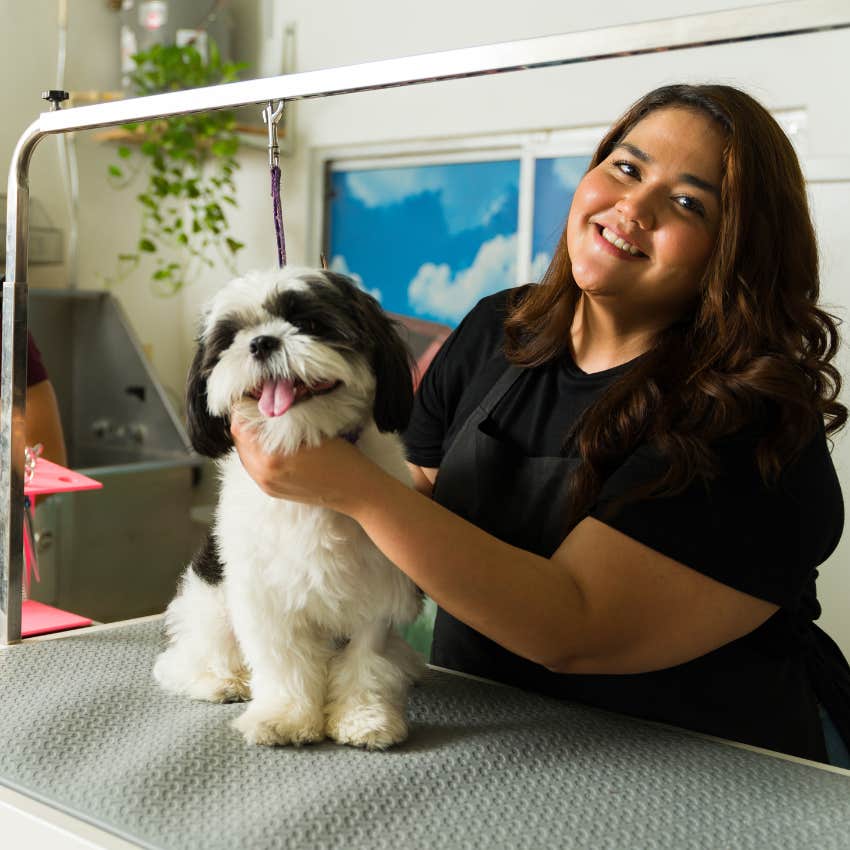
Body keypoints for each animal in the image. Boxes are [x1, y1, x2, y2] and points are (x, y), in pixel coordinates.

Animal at [153, 266, 424, 748]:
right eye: (233, 336)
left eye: (310, 323)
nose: (261, 342)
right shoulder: (264, 593)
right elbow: (283, 660)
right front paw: (285, 717)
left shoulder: (378, 587)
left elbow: (368, 660)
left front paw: (364, 717)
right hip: (210, 604)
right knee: (180, 661)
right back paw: (220, 680)